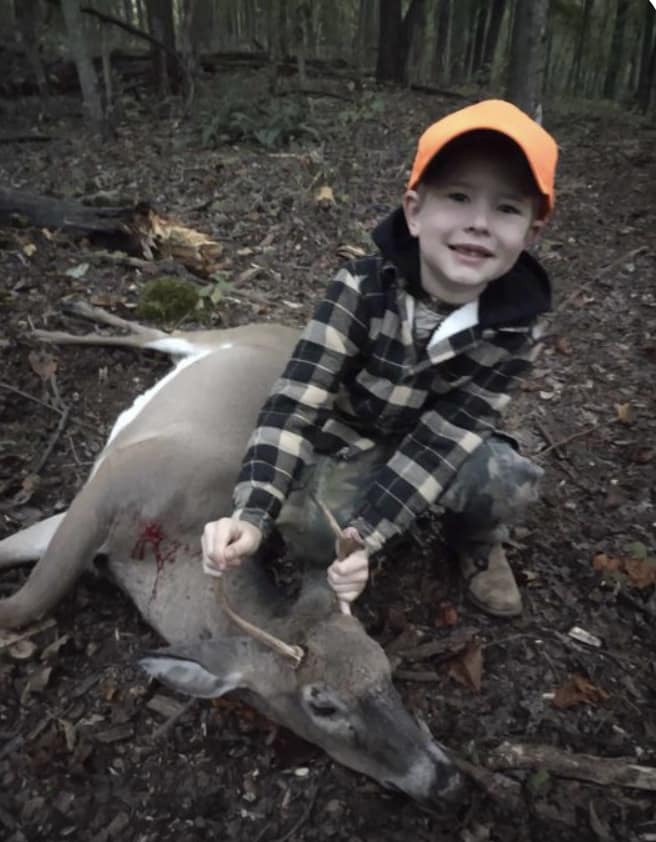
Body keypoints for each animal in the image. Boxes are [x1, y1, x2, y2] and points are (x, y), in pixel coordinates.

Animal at [0, 301, 463, 804]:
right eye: (322, 703)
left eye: (385, 666)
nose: (443, 777)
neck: (161, 546)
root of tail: (294, 330)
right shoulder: (107, 487)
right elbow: (25, 602)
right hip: (224, 336)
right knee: (153, 332)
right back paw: (55, 324)